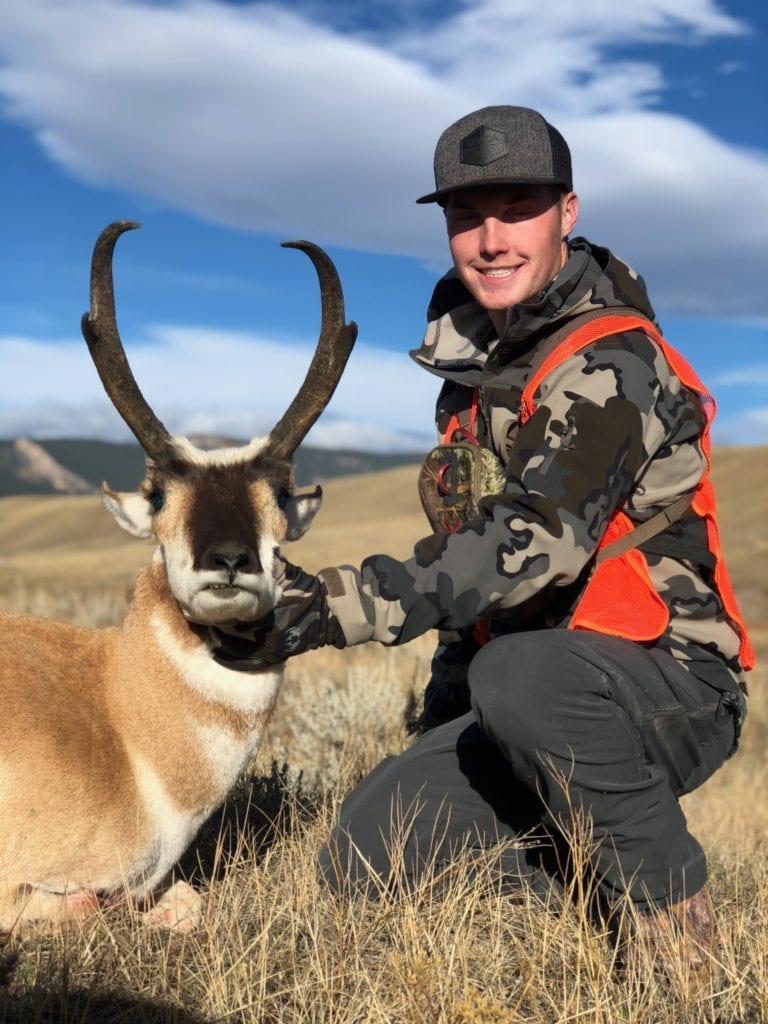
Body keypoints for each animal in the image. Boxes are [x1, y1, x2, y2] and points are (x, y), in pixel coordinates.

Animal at [0, 224, 358, 937]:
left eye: (278, 493)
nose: (229, 559)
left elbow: (188, 902)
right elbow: (93, 901)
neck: (117, 719)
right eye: (160, 494)